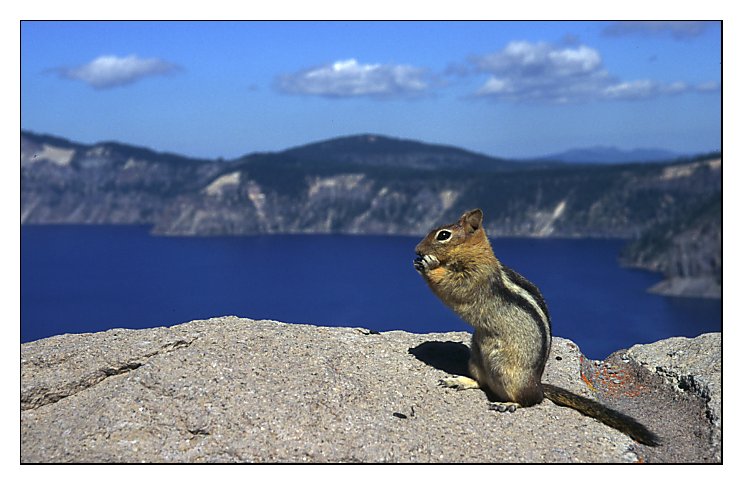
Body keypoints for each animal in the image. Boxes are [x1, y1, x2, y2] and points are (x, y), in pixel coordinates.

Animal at [412, 208, 664, 446]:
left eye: (443, 235)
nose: (417, 249)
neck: (476, 254)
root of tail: (538, 385)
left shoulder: (472, 279)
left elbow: (451, 287)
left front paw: (429, 265)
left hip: (509, 374)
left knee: (532, 400)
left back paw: (509, 404)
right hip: (476, 358)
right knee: (483, 382)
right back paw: (458, 380)